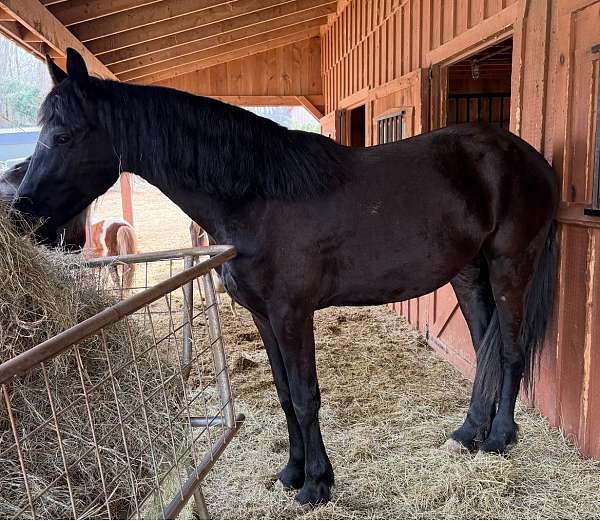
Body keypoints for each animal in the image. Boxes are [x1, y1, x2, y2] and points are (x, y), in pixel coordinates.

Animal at [12, 48, 556, 504]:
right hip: (467, 274)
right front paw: (294, 472)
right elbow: (282, 394)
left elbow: (304, 394)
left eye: (62, 136)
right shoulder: (264, 316)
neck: (258, 197)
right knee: (486, 347)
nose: (22, 214)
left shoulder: (293, 314)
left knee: (509, 350)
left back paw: (500, 438)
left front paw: (316, 485)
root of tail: (530, 159)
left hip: (510, 266)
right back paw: (468, 434)